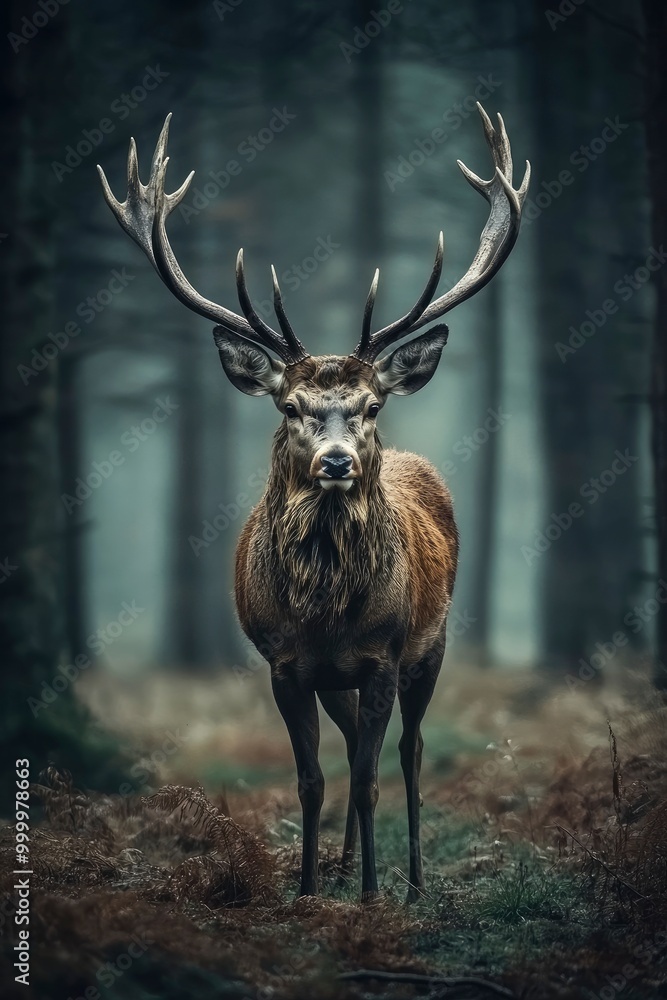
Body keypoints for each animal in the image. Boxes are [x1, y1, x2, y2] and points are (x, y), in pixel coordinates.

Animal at [98, 103, 529, 901]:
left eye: (369, 405)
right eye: (292, 406)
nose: (337, 461)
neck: (326, 613)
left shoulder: (384, 654)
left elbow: (367, 778)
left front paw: (371, 895)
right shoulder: (286, 663)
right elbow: (312, 780)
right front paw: (305, 888)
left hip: (432, 645)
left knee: (409, 752)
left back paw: (411, 880)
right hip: (340, 680)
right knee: (354, 743)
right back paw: (341, 867)